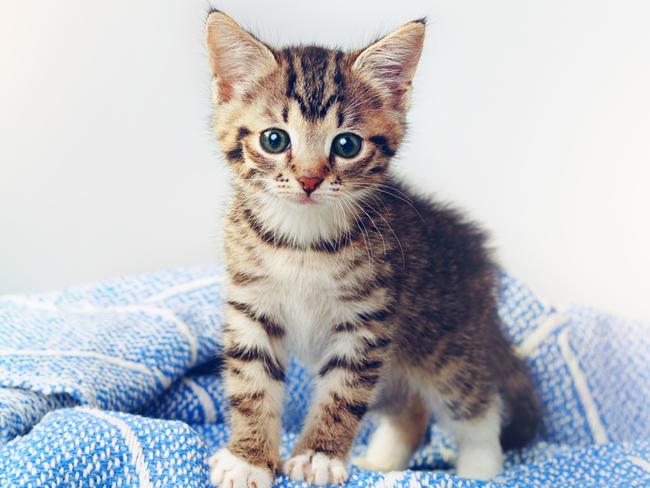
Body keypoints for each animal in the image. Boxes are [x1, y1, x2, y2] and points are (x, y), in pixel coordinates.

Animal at [205, 9, 540, 486]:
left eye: (346, 144)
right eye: (274, 140)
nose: (309, 180)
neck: (302, 241)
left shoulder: (366, 320)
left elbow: (341, 393)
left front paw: (318, 456)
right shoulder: (252, 307)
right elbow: (251, 382)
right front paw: (248, 458)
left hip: (446, 344)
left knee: (476, 404)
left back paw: (479, 469)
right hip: (398, 368)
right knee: (410, 410)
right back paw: (382, 462)